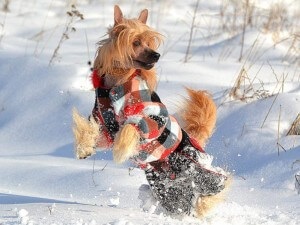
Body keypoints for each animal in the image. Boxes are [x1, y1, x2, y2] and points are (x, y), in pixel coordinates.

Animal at [72, 4, 227, 216]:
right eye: (136, 42)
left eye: (150, 42)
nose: (156, 55)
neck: (117, 84)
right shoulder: (106, 127)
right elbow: (93, 132)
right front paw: (85, 147)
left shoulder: (152, 117)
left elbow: (130, 128)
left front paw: (121, 150)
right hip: (169, 189)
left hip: (191, 166)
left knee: (216, 184)